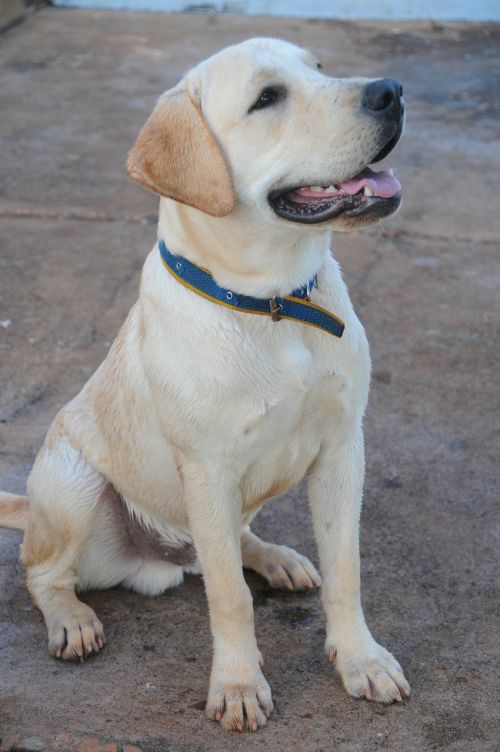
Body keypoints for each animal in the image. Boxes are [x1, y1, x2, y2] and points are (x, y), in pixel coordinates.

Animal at [0, 38, 410, 732]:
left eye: (319, 69)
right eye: (267, 98)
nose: (393, 91)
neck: (274, 304)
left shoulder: (341, 450)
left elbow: (345, 570)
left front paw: (361, 660)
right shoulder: (207, 470)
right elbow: (229, 597)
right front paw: (239, 685)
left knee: (233, 541)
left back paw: (274, 556)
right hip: (75, 484)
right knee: (44, 573)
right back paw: (72, 620)